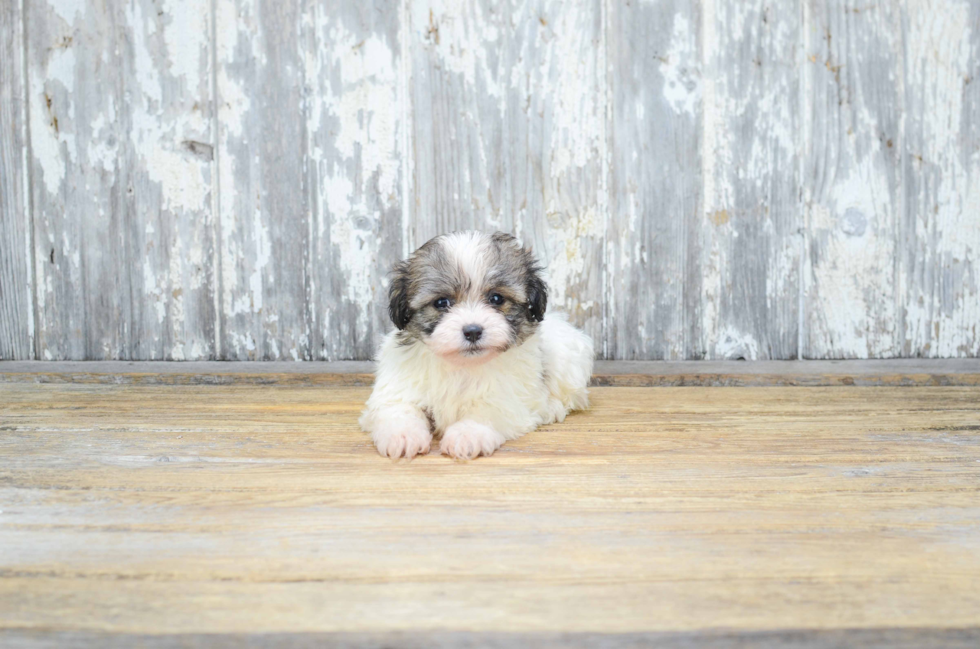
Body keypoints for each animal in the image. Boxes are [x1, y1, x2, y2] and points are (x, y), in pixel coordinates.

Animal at [358, 230, 592, 458]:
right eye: (441, 303)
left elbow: (486, 412)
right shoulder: (399, 386)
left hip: (567, 358)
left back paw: (551, 408)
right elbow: (398, 408)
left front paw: (467, 435)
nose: (472, 331)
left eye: (496, 298)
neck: (461, 365)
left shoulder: (505, 398)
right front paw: (403, 435)